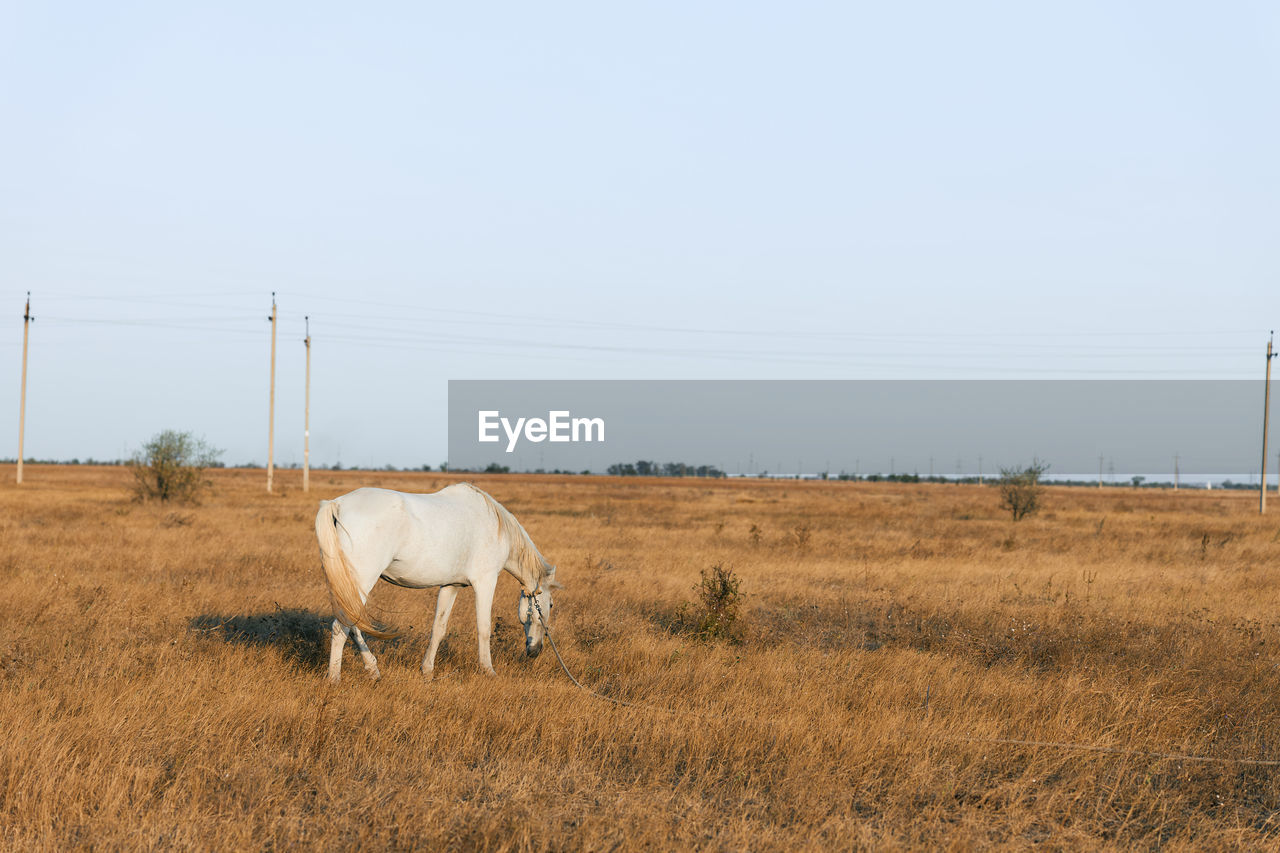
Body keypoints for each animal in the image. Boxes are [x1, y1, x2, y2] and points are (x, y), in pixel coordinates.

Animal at [314, 482, 558, 682]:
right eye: (550, 604)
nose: (535, 651)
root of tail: (337, 504)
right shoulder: (485, 582)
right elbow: (484, 628)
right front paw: (488, 670)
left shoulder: (451, 586)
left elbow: (439, 628)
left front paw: (427, 670)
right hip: (362, 579)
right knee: (341, 626)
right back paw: (334, 678)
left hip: (348, 585)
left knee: (352, 624)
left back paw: (373, 670)